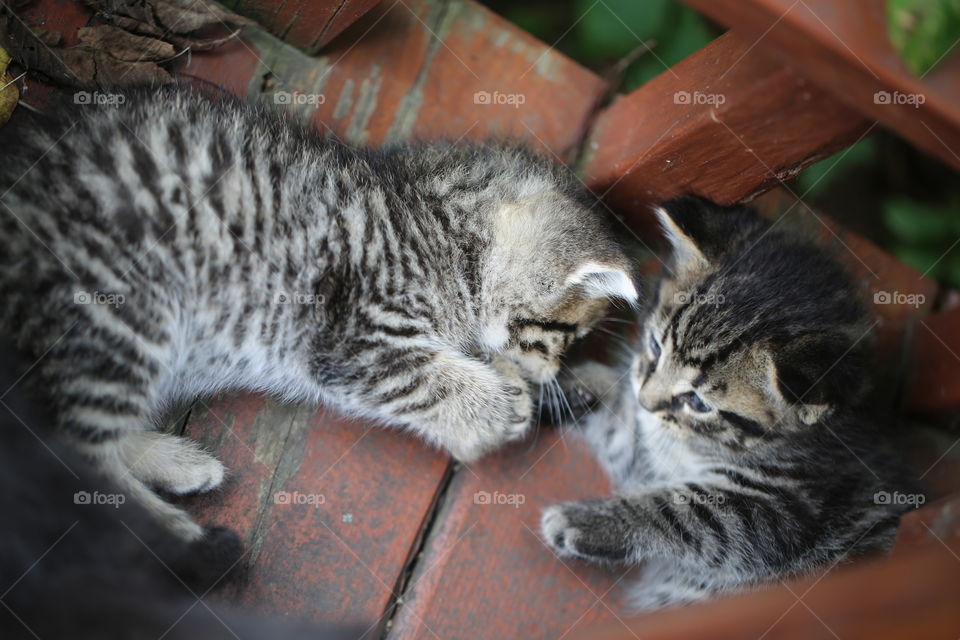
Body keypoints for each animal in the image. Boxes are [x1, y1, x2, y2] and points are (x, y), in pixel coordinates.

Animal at [0, 86, 636, 540]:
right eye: (564, 332)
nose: (555, 371)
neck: (429, 218)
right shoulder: (353, 334)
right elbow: (423, 377)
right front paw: (497, 408)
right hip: (122, 308)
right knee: (78, 449)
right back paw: (175, 537)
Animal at [544, 195, 920, 608]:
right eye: (655, 347)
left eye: (699, 403)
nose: (647, 401)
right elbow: (625, 428)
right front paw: (560, 384)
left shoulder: (784, 509)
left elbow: (685, 510)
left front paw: (586, 522)